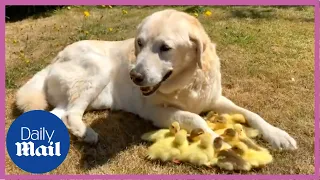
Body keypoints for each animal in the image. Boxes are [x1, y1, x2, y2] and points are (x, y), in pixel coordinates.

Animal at [15, 9, 296, 150]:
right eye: (139, 43)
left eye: (165, 48)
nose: (134, 76)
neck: (187, 83)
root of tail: (54, 59)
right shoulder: (155, 111)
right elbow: (195, 118)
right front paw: (219, 142)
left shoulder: (215, 98)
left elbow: (252, 114)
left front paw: (278, 135)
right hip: (98, 68)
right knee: (72, 112)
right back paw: (88, 134)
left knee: (59, 114)